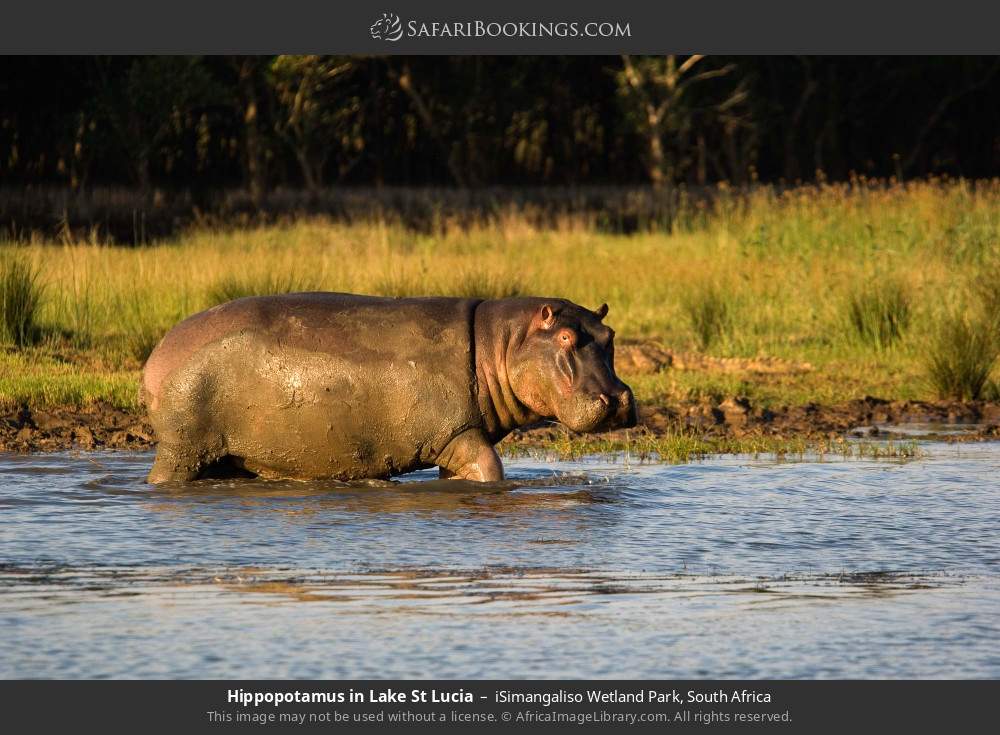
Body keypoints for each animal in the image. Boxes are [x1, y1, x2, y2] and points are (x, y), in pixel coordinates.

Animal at [141, 293, 637, 483]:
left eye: (610, 336)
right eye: (567, 338)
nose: (615, 398)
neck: (500, 344)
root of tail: (157, 353)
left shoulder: (456, 440)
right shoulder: (455, 433)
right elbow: (489, 468)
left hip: (233, 454)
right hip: (184, 447)